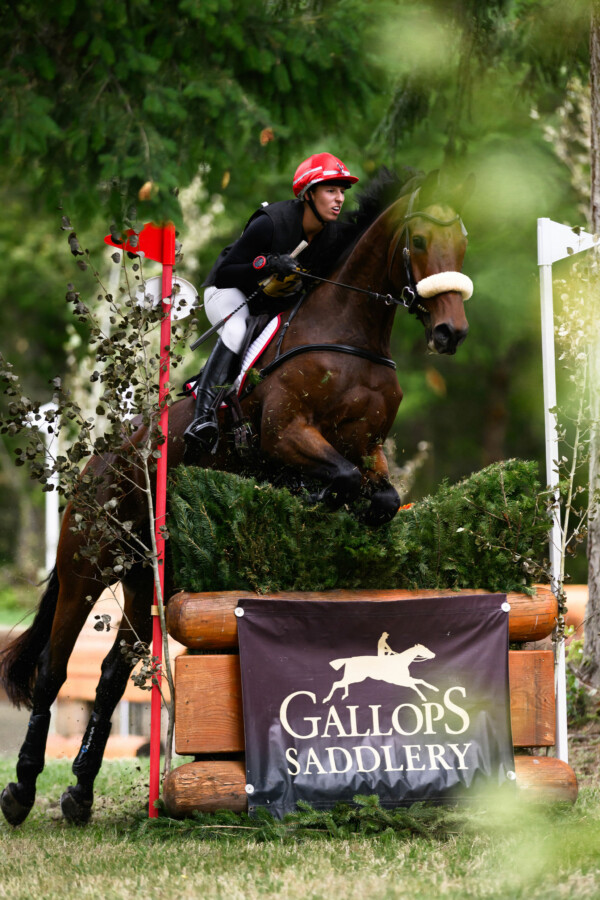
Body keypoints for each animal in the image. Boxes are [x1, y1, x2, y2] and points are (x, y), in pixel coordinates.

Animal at [0, 165, 472, 828]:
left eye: (463, 242)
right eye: (422, 241)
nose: (451, 333)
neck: (349, 334)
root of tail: (101, 460)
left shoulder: (370, 450)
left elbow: (378, 496)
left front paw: (342, 518)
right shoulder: (286, 434)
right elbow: (338, 480)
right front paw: (313, 499)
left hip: (150, 579)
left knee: (112, 673)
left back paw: (79, 795)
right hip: (86, 565)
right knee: (52, 670)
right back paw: (20, 791)